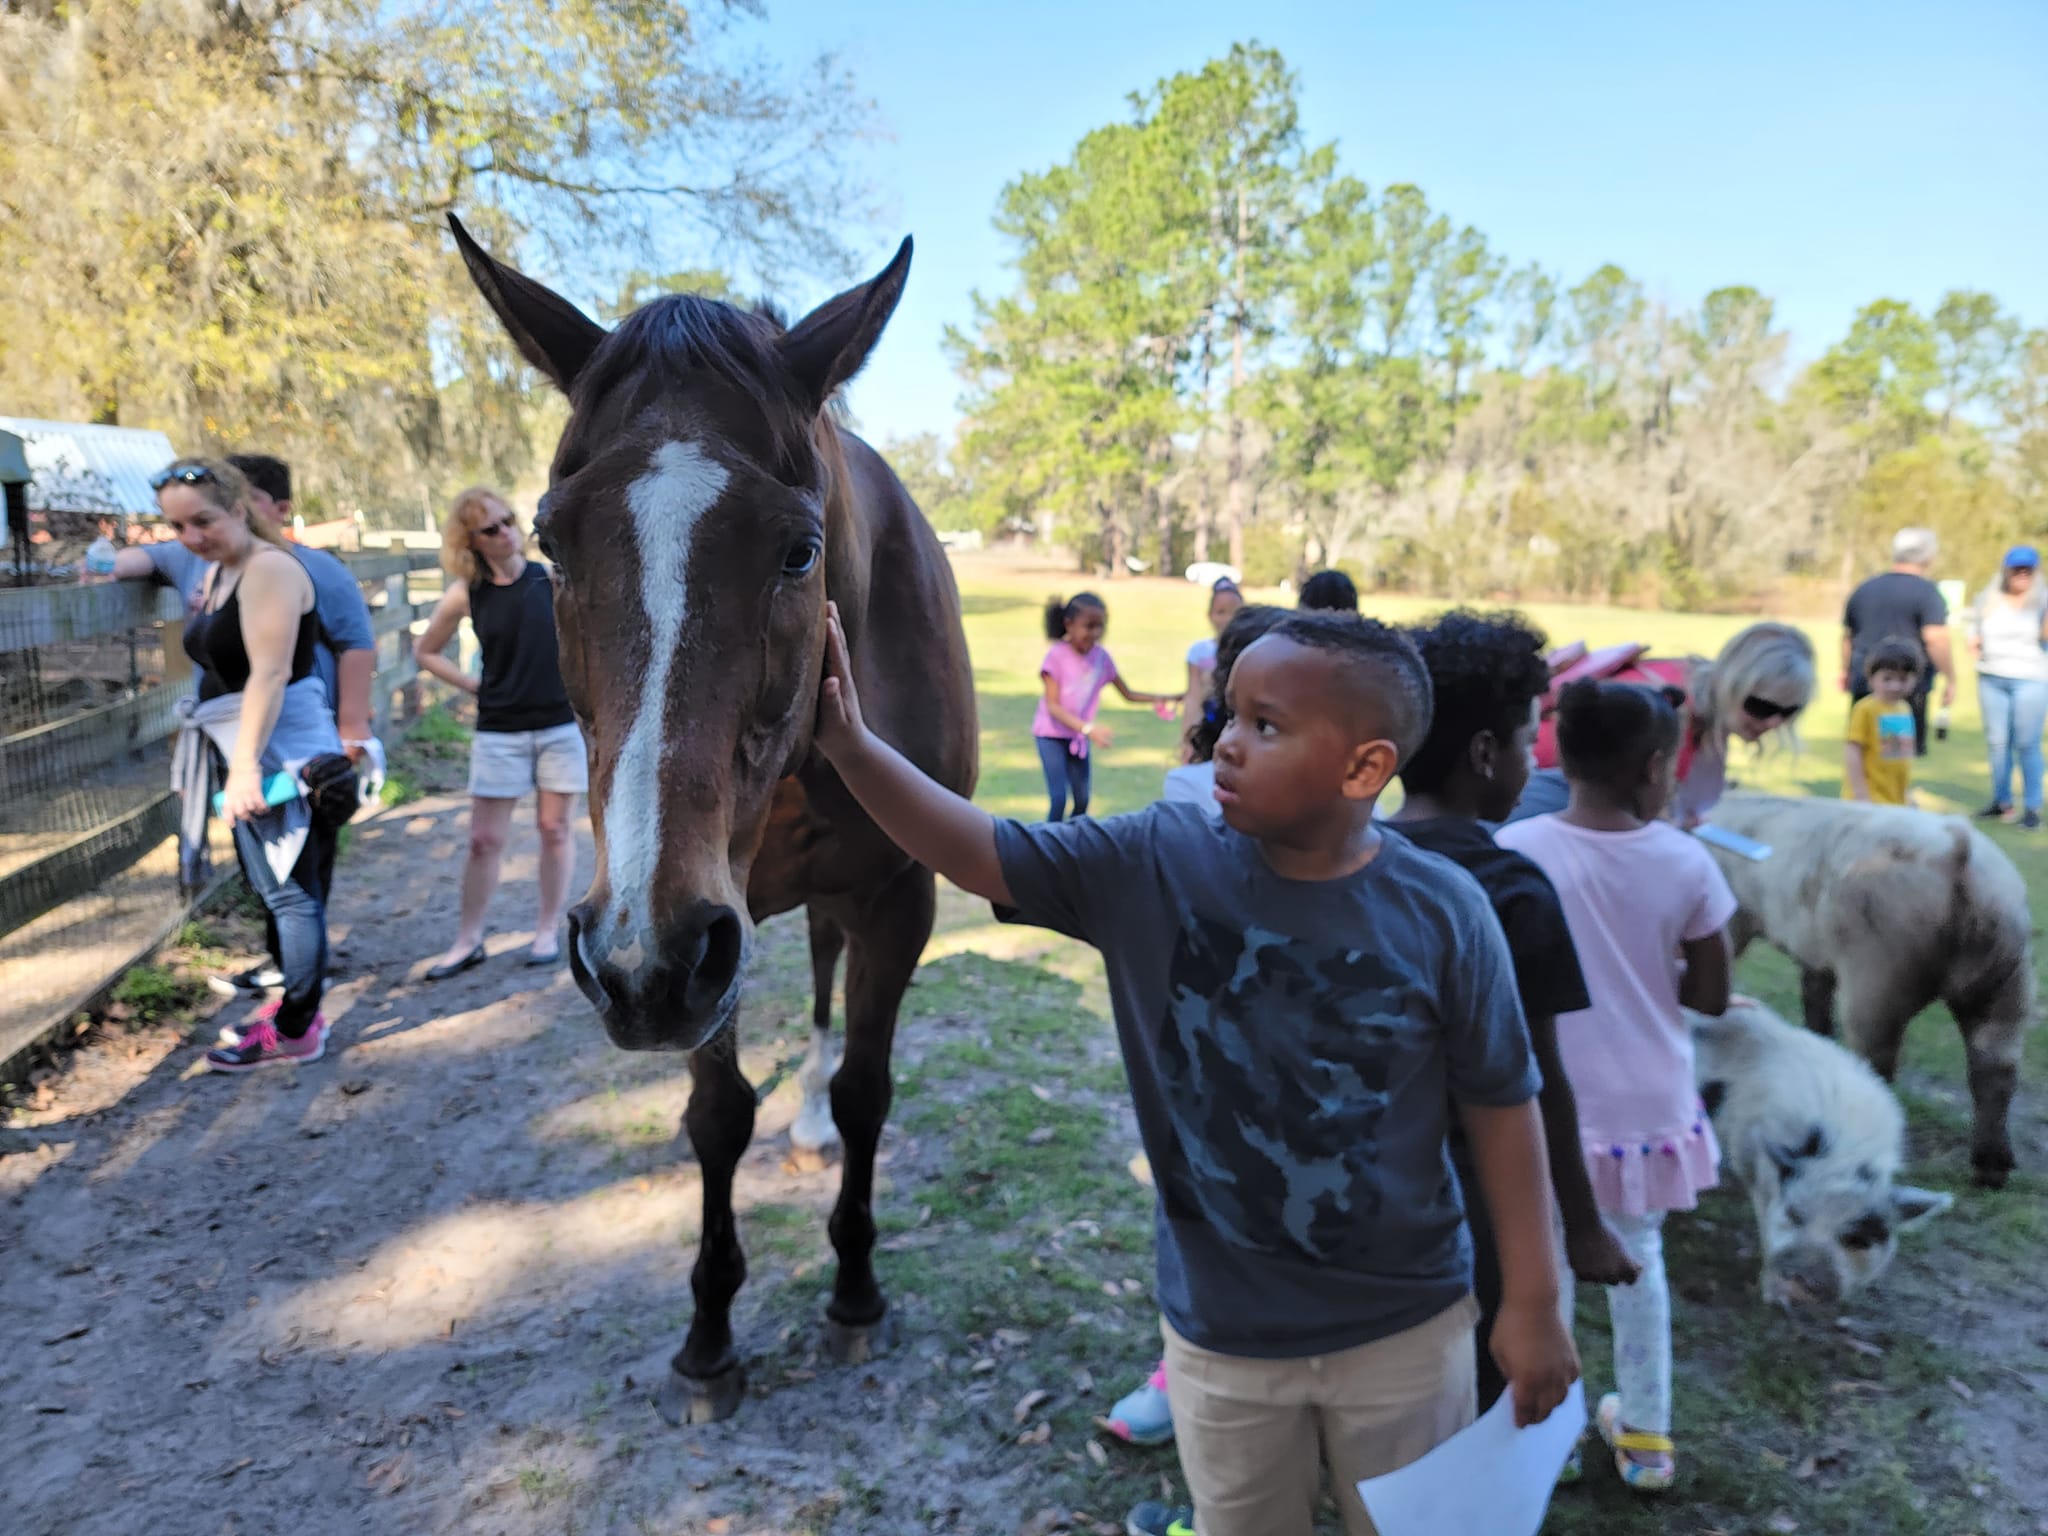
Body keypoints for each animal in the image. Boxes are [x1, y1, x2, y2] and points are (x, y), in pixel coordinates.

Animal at [449, 215, 979, 1423]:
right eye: (550, 542)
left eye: (797, 548)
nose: (632, 961)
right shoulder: (687, 939)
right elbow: (717, 1116)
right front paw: (708, 1333)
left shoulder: (891, 899)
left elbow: (868, 1088)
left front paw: (853, 1291)